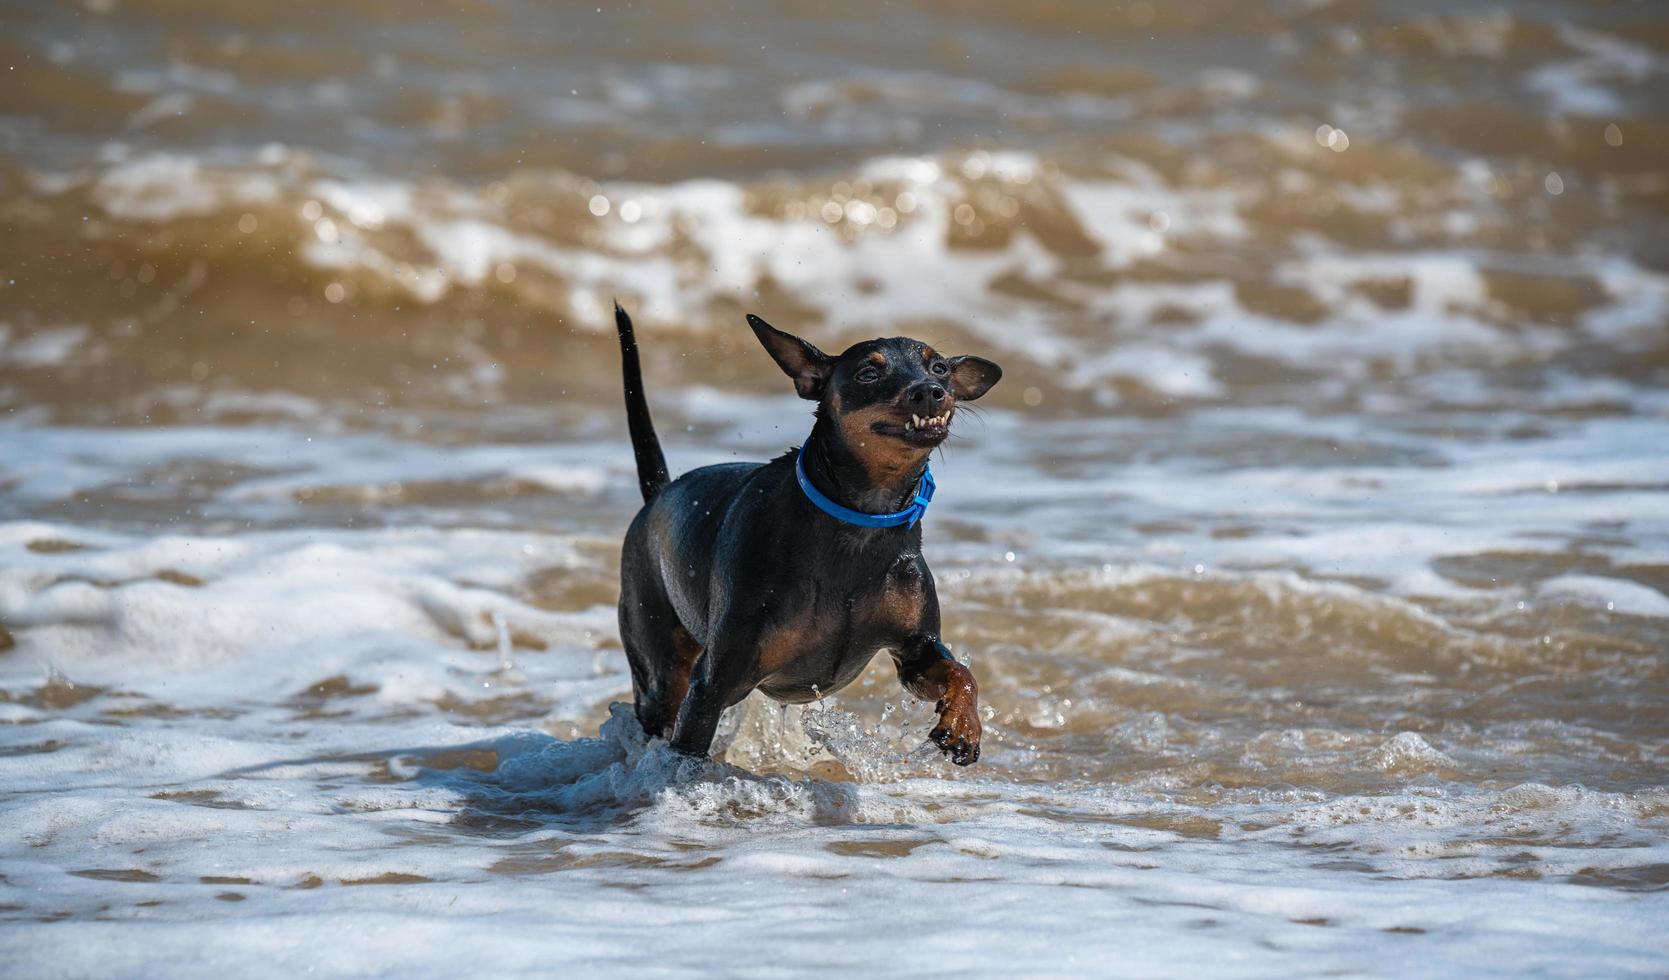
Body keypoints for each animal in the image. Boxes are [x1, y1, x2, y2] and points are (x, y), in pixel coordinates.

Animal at [614, 307, 1001, 767]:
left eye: (939, 367)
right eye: (869, 373)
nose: (930, 391)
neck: (862, 521)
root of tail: (660, 492)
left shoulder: (916, 652)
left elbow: (962, 673)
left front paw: (962, 728)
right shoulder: (714, 682)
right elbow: (688, 750)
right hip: (659, 662)